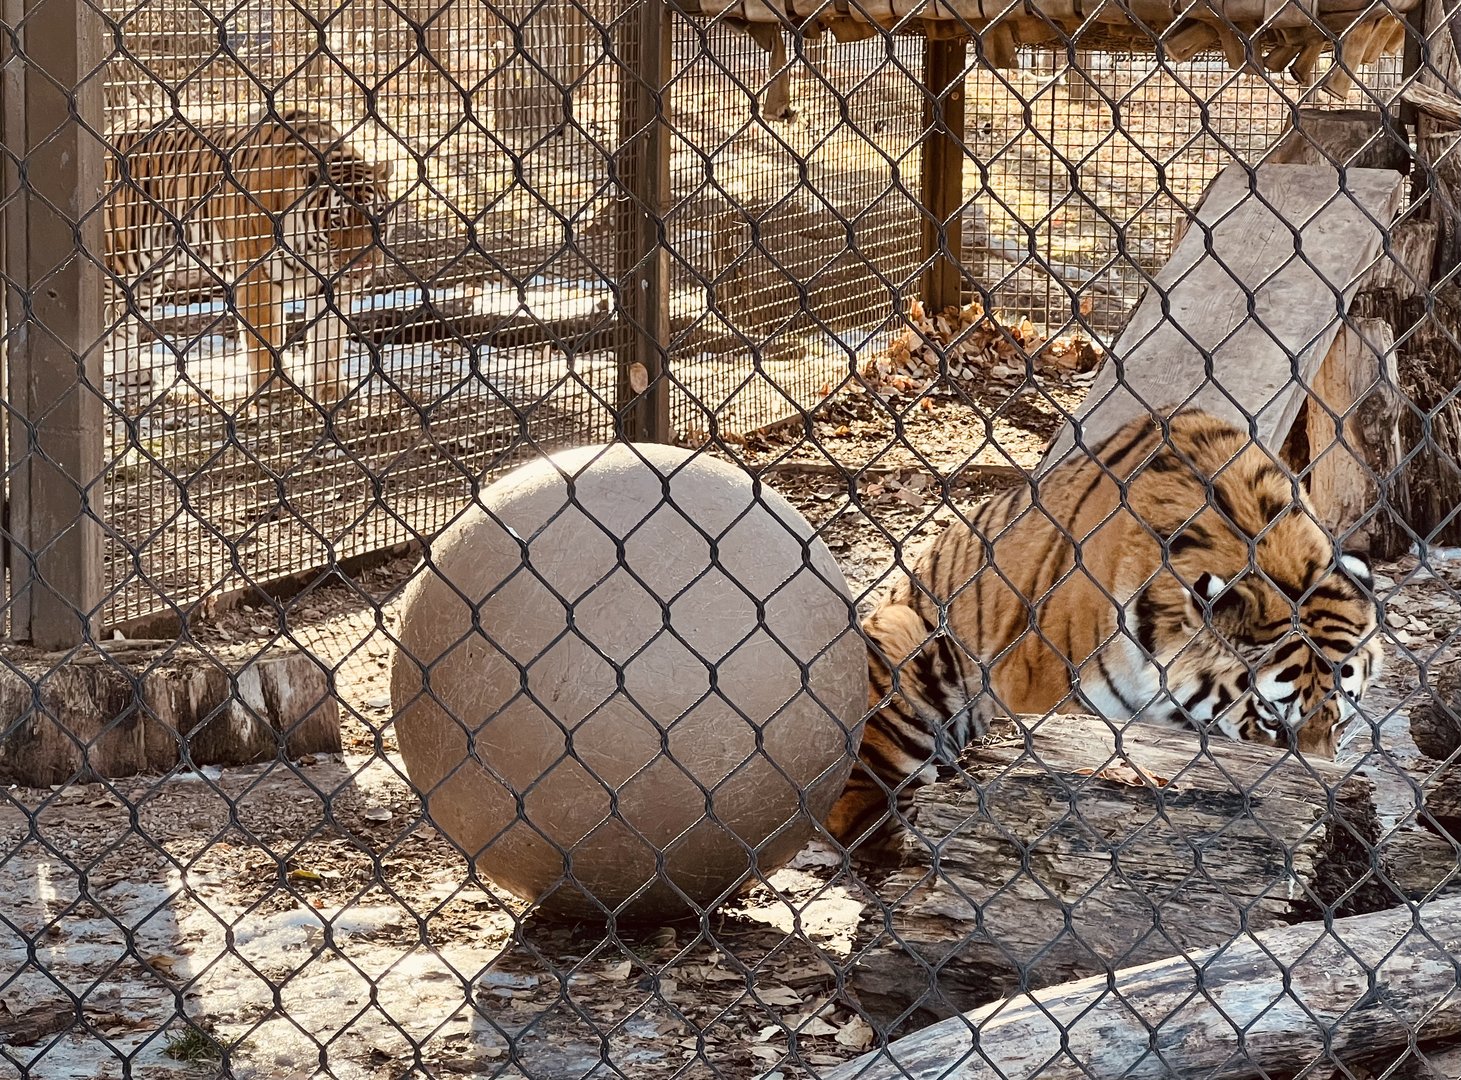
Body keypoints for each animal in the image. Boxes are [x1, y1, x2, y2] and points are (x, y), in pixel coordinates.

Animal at [105, 109, 393, 405]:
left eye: (378, 219)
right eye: (337, 223)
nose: (364, 264)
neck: (314, 252)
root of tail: (115, 127)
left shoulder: (331, 285)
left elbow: (330, 338)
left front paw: (330, 388)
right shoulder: (258, 280)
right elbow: (264, 337)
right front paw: (274, 387)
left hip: (151, 276)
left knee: (124, 318)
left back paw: (132, 373)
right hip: (125, 261)